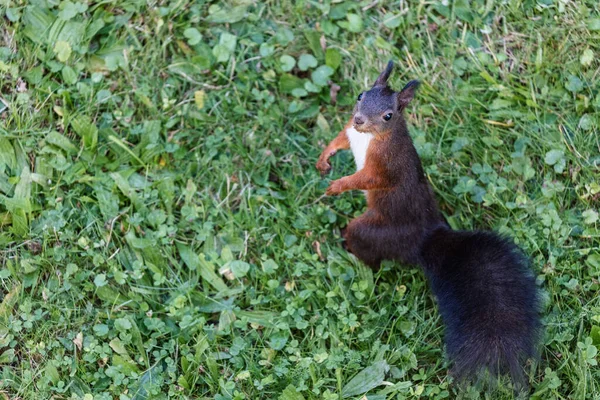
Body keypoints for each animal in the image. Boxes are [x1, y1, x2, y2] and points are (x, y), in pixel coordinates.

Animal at [316, 61, 540, 388]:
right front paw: (324, 158)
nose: (358, 119)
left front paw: (338, 185)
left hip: (377, 231)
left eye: (389, 115)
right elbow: (340, 138)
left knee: (367, 251)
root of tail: (426, 238)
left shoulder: (385, 166)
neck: (368, 137)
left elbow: (367, 178)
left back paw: (348, 253)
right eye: (360, 95)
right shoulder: (349, 132)